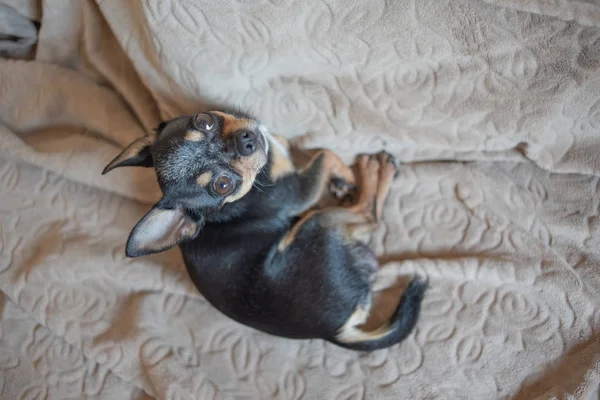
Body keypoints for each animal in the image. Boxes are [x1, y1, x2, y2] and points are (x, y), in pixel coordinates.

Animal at [103, 109, 426, 350]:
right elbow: (325, 154)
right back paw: (376, 171)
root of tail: (333, 332)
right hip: (315, 223)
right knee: (370, 214)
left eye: (204, 121)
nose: (245, 140)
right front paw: (347, 174)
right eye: (222, 185)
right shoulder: (299, 191)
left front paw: (340, 181)